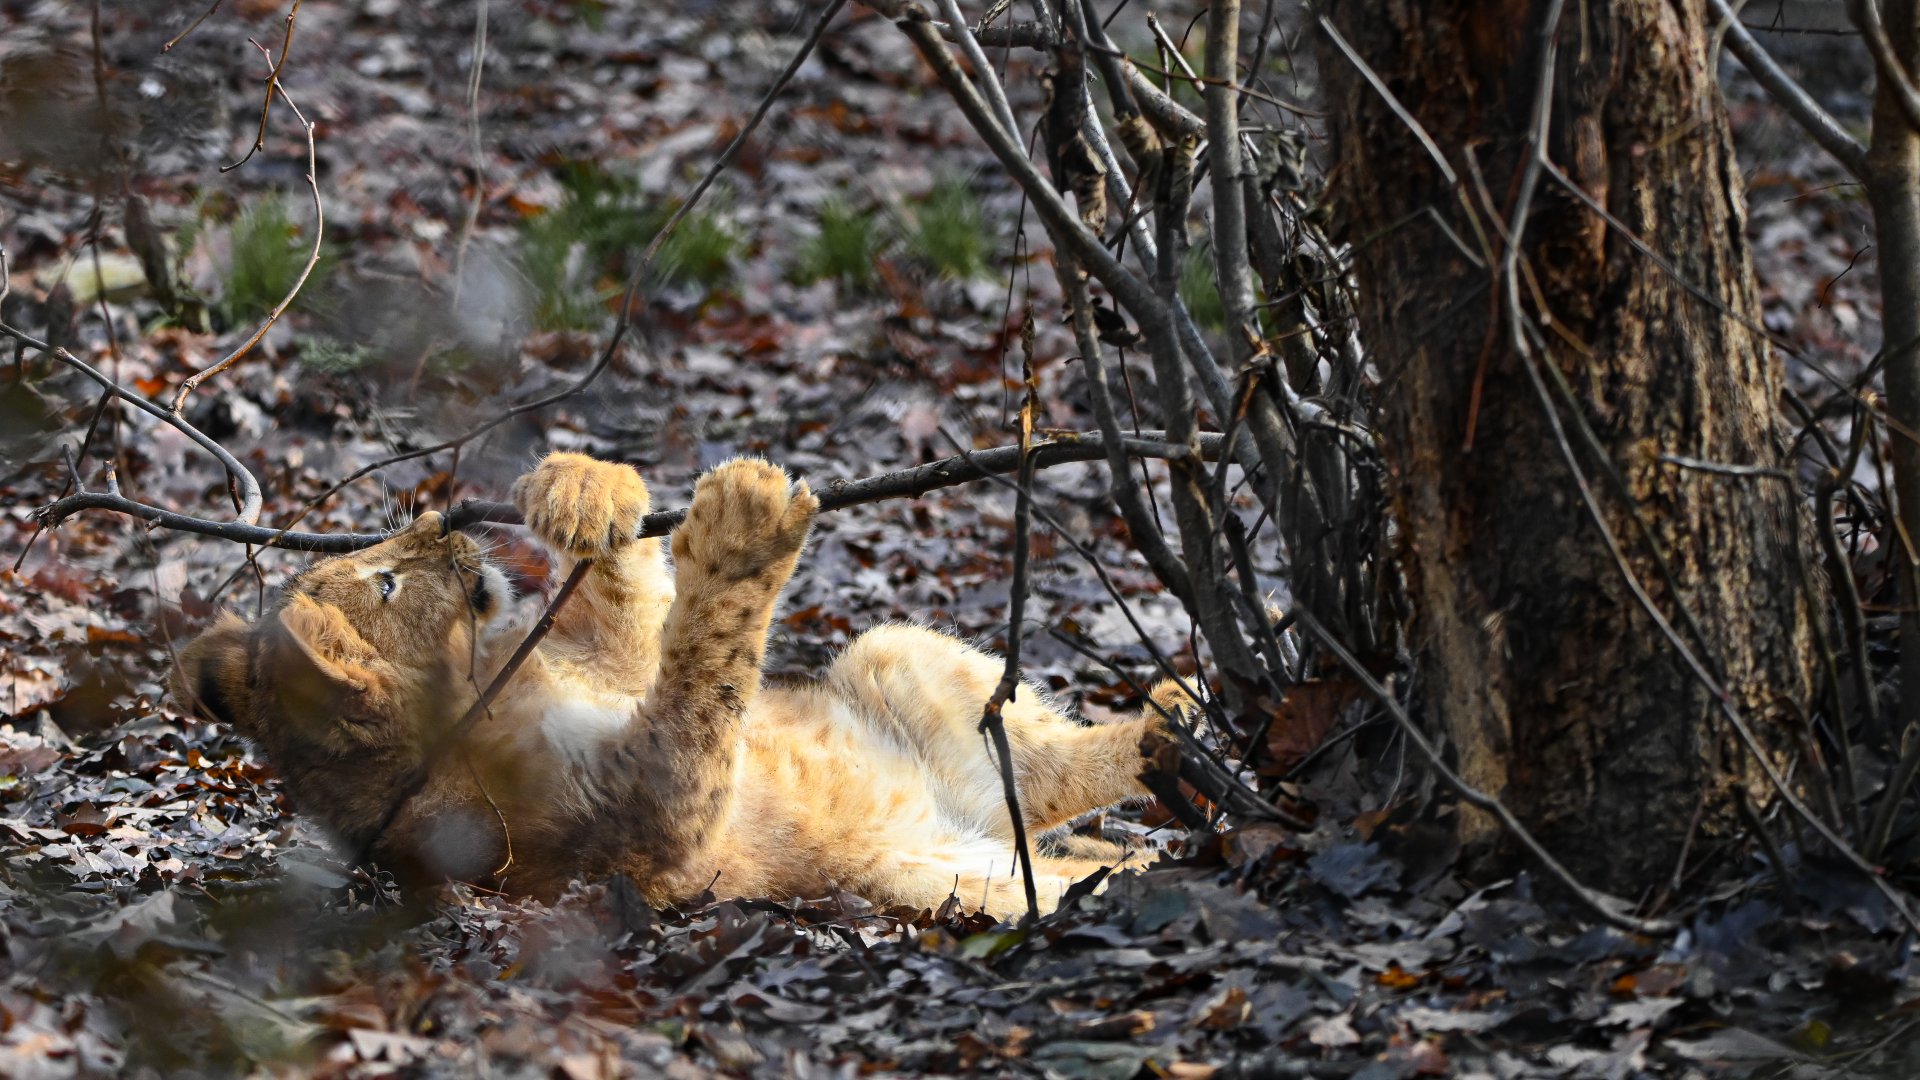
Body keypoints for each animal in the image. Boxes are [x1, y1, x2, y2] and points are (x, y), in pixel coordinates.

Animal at [171, 454, 1183, 915]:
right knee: (1060, 871)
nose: (442, 520)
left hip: (895, 653)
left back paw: (1171, 727)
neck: (494, 679)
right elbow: (702, 687)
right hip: (936, 885)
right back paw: (1154, 836)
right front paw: (741, 534)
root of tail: (963, 829)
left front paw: (580, 492)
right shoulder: (650, 834)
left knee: (1051, 775)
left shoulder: (610, 662)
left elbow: (638, 609)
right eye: (386, 582)